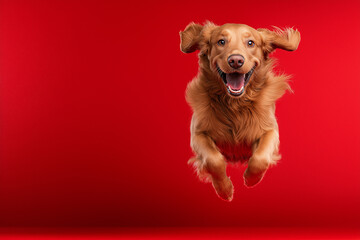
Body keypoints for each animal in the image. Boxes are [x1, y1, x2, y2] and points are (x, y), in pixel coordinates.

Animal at [180, 22, 300, 201]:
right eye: (221, 41)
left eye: (250, 43)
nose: (235, 60)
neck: (235, 105)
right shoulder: (198, 133)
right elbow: (214, 160)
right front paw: (225, 190)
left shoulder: (270, 130)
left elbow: (260, 158)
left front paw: (251, 179)